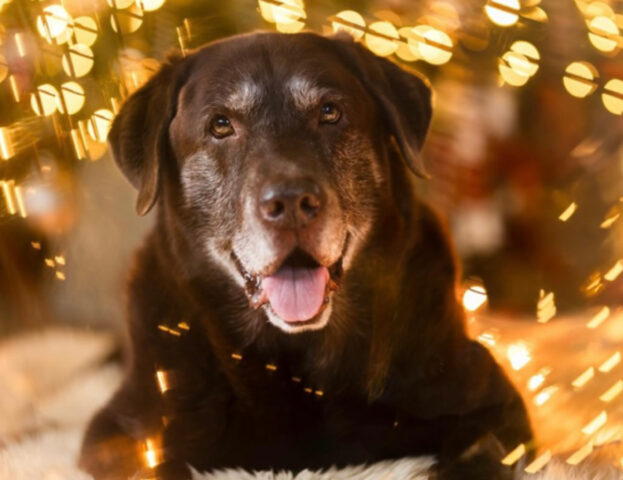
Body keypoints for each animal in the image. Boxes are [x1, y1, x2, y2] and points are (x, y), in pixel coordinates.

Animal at [79, 32, 532, 480]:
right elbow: (158, 463)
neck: (297, 358)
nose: (291, 202)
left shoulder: (492, 398)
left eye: (330, 112)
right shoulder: (121, 429)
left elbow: (480, 449)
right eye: (221, 125)